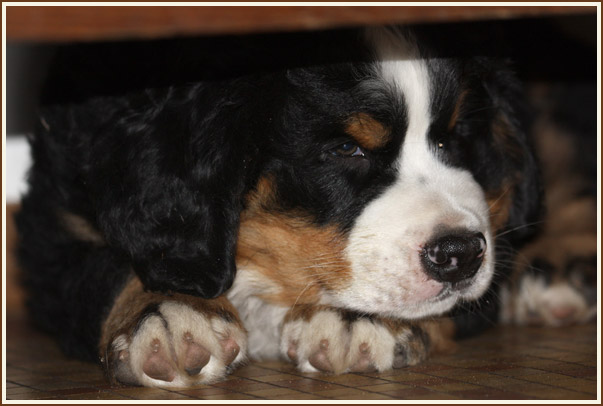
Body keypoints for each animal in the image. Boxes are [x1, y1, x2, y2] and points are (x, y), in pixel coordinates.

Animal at [15, 26, 595, 388]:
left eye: (454, 139)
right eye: (345, 150)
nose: (460, 254)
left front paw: (354, 317)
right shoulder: (54, 216)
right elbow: (108, 265)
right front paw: (170, 314)